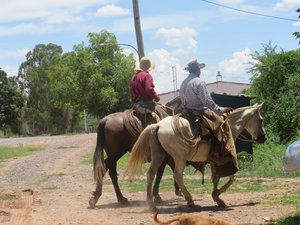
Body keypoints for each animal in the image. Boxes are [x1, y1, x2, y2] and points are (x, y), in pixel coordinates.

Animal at [125, 103, 266, 211]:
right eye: (261, 120)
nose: (263, 138)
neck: (228, 127)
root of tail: (158, 125)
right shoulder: (224, 160)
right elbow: (231, 178)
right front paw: (217, 195)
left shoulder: (214, 161)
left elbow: (215, 178)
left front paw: (217, 197)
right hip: (179, 157)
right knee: (177, 176)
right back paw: (190, 201)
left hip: (158, 155)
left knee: (151, 174)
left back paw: (151, 204)